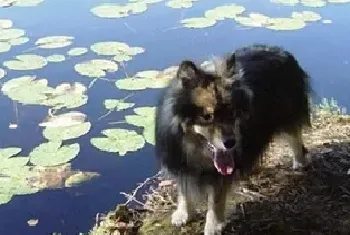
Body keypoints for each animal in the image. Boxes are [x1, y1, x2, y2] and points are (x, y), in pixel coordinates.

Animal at [155, 44, 312, 235]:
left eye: (232, 113)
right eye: (207, 116)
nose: (231, 143)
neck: (196, 150)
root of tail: (283, 52)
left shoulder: (219, 175)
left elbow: (215, 201)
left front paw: (213, 226)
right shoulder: (180, 162)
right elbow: (183, 190)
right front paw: (183, 214)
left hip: (287, 115)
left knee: (295, 137)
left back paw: (299, 162)